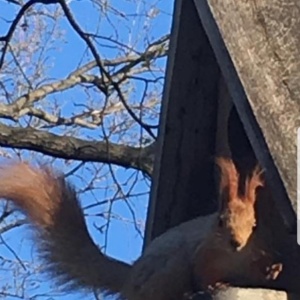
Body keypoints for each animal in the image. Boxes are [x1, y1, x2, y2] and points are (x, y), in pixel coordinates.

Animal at [0, 158, 278, 298]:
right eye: (220, 221)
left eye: (255, 225)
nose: (236, 243)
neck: (234, 259)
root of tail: (130, 276)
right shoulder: (203, 253)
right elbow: (203, 273)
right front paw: (215, 286)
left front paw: (274, 270)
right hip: (168, 272)